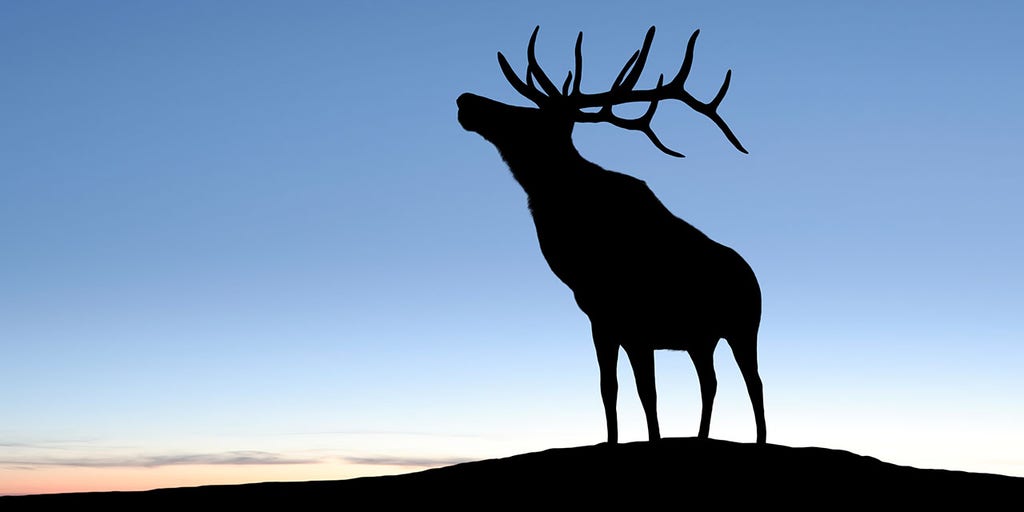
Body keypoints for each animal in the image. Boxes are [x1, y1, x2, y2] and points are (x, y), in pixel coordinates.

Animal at [456, 26, 766, 444]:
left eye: (529, 117)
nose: (466, 100)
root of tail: (755, 279)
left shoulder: (637, 324)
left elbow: (647, 393)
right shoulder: (601, 321)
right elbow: (609, 389)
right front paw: (613, 438)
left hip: (743, 328)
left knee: (754, 383)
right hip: (701, 339)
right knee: (711, 382)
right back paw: (701, 437)